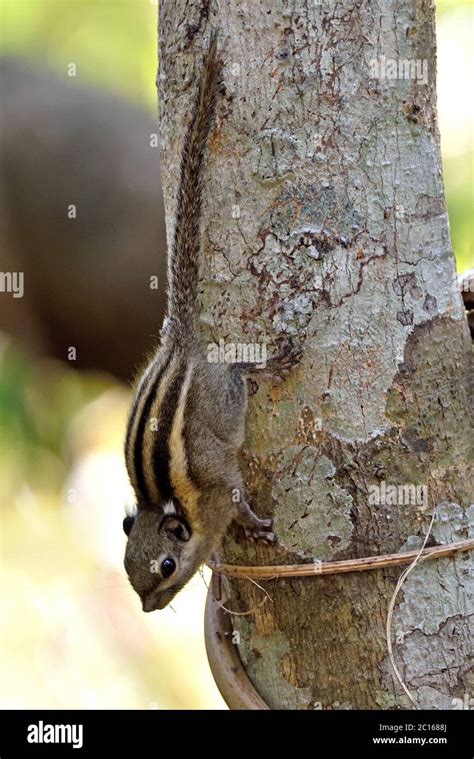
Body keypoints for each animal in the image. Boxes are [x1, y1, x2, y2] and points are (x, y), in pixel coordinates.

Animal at [122, 32, 300, 616]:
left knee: (240, 374)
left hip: (222, 396)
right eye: (128, 570)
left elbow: (239, 499)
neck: (162, 504)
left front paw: (255, 527)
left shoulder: (221, 484)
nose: (148, 609)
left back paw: (271, 366)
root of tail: (180, 342)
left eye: (166, 567)